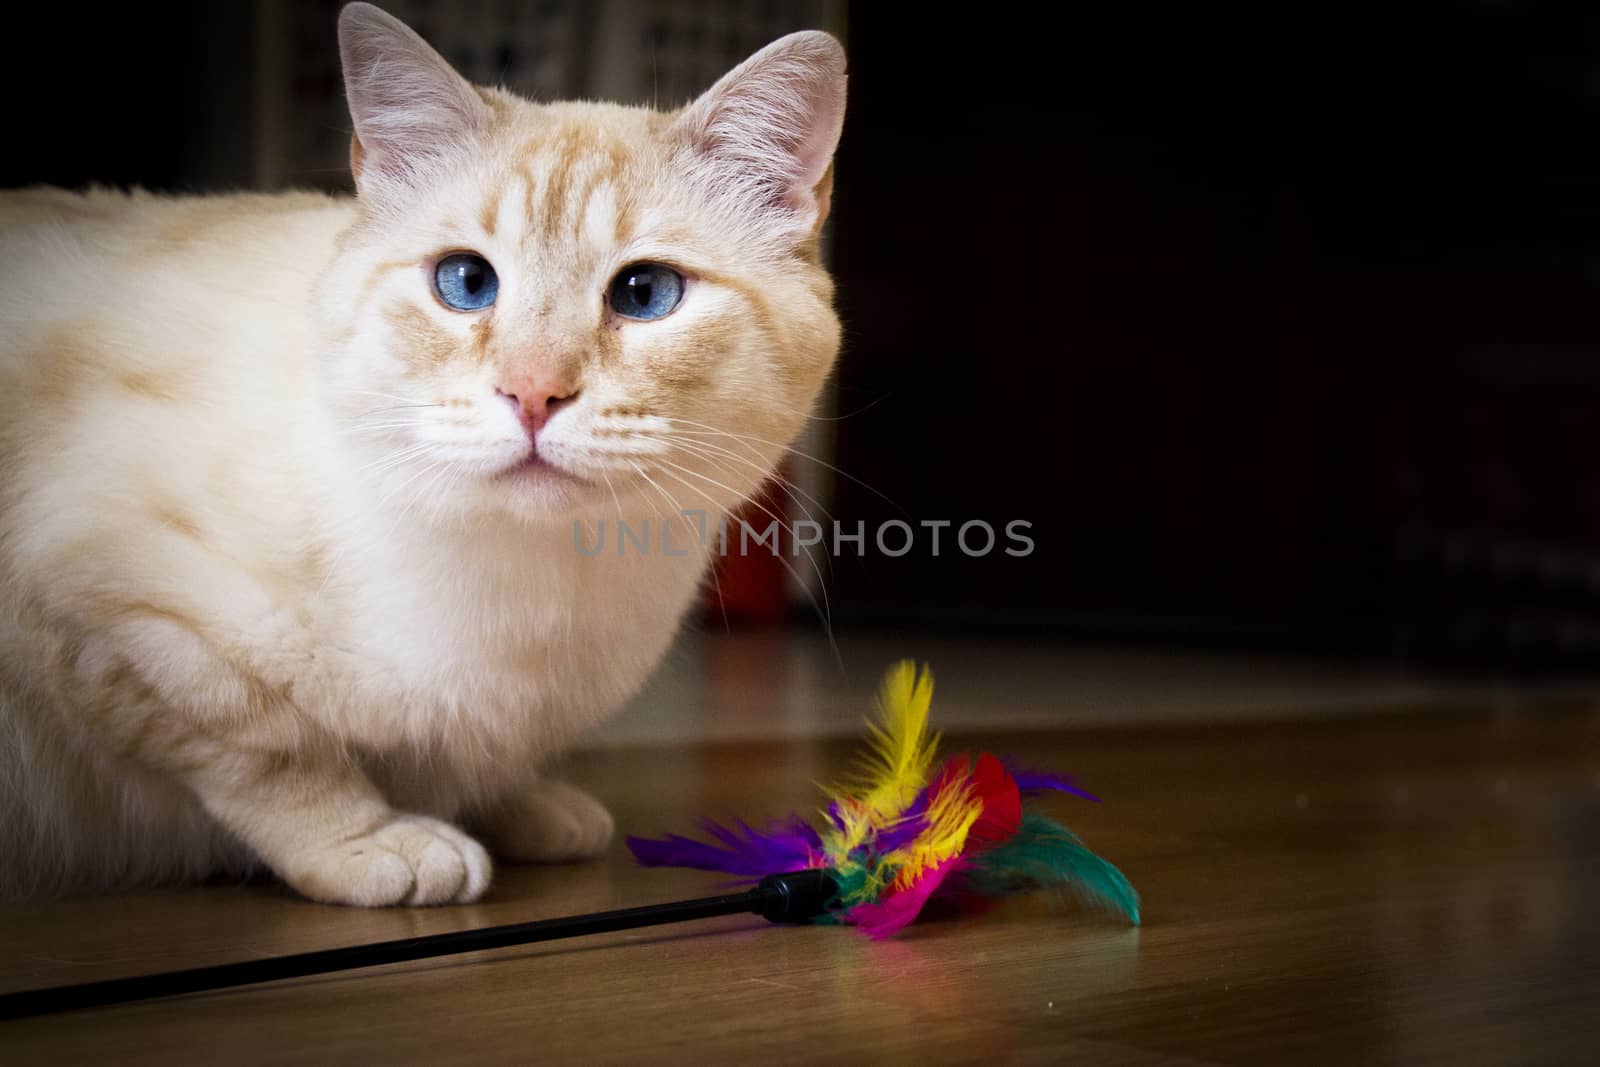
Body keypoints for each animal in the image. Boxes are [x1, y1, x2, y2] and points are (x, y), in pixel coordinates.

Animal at [0, 4, 851, 908]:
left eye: (644, 294)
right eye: (466, 283)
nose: (532, 394)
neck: (538, 586)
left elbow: (478, 764)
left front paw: (523, 808)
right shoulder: (112, 603)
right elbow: (275, 752)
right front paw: (380, 843)